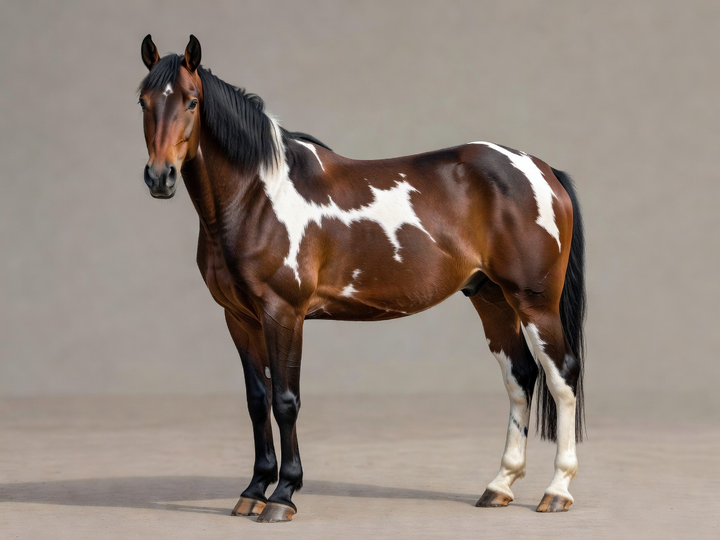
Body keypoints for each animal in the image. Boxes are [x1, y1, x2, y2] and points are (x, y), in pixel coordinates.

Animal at [137, 34, 586, 522]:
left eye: (192, 101)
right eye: (143, 101)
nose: (160, 177)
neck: (257, 196)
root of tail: (542, 170)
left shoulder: (284, 313)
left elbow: (286, 401)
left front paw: (283, 495)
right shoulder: (239, 318)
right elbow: (258, 401)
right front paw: (254, 490)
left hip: (534, 302)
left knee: (561, 377)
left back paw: (557, 490)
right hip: (492, 299)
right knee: (520, 377)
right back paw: (499, 485)